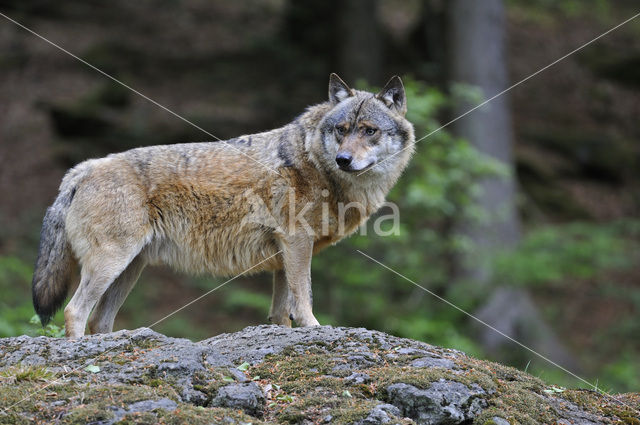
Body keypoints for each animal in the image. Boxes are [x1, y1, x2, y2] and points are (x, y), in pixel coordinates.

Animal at [32, 73, 416, 338]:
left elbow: (281, 313)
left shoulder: (283, 255)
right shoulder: (296, 244)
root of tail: (81, 169)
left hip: (128, 270)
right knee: (74, 312)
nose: (343, 159)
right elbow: (303, 298)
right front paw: (315, 329)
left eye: (368, 131)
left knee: (100, 320)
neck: (313, 160)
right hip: (111, 264)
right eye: (342, 129)